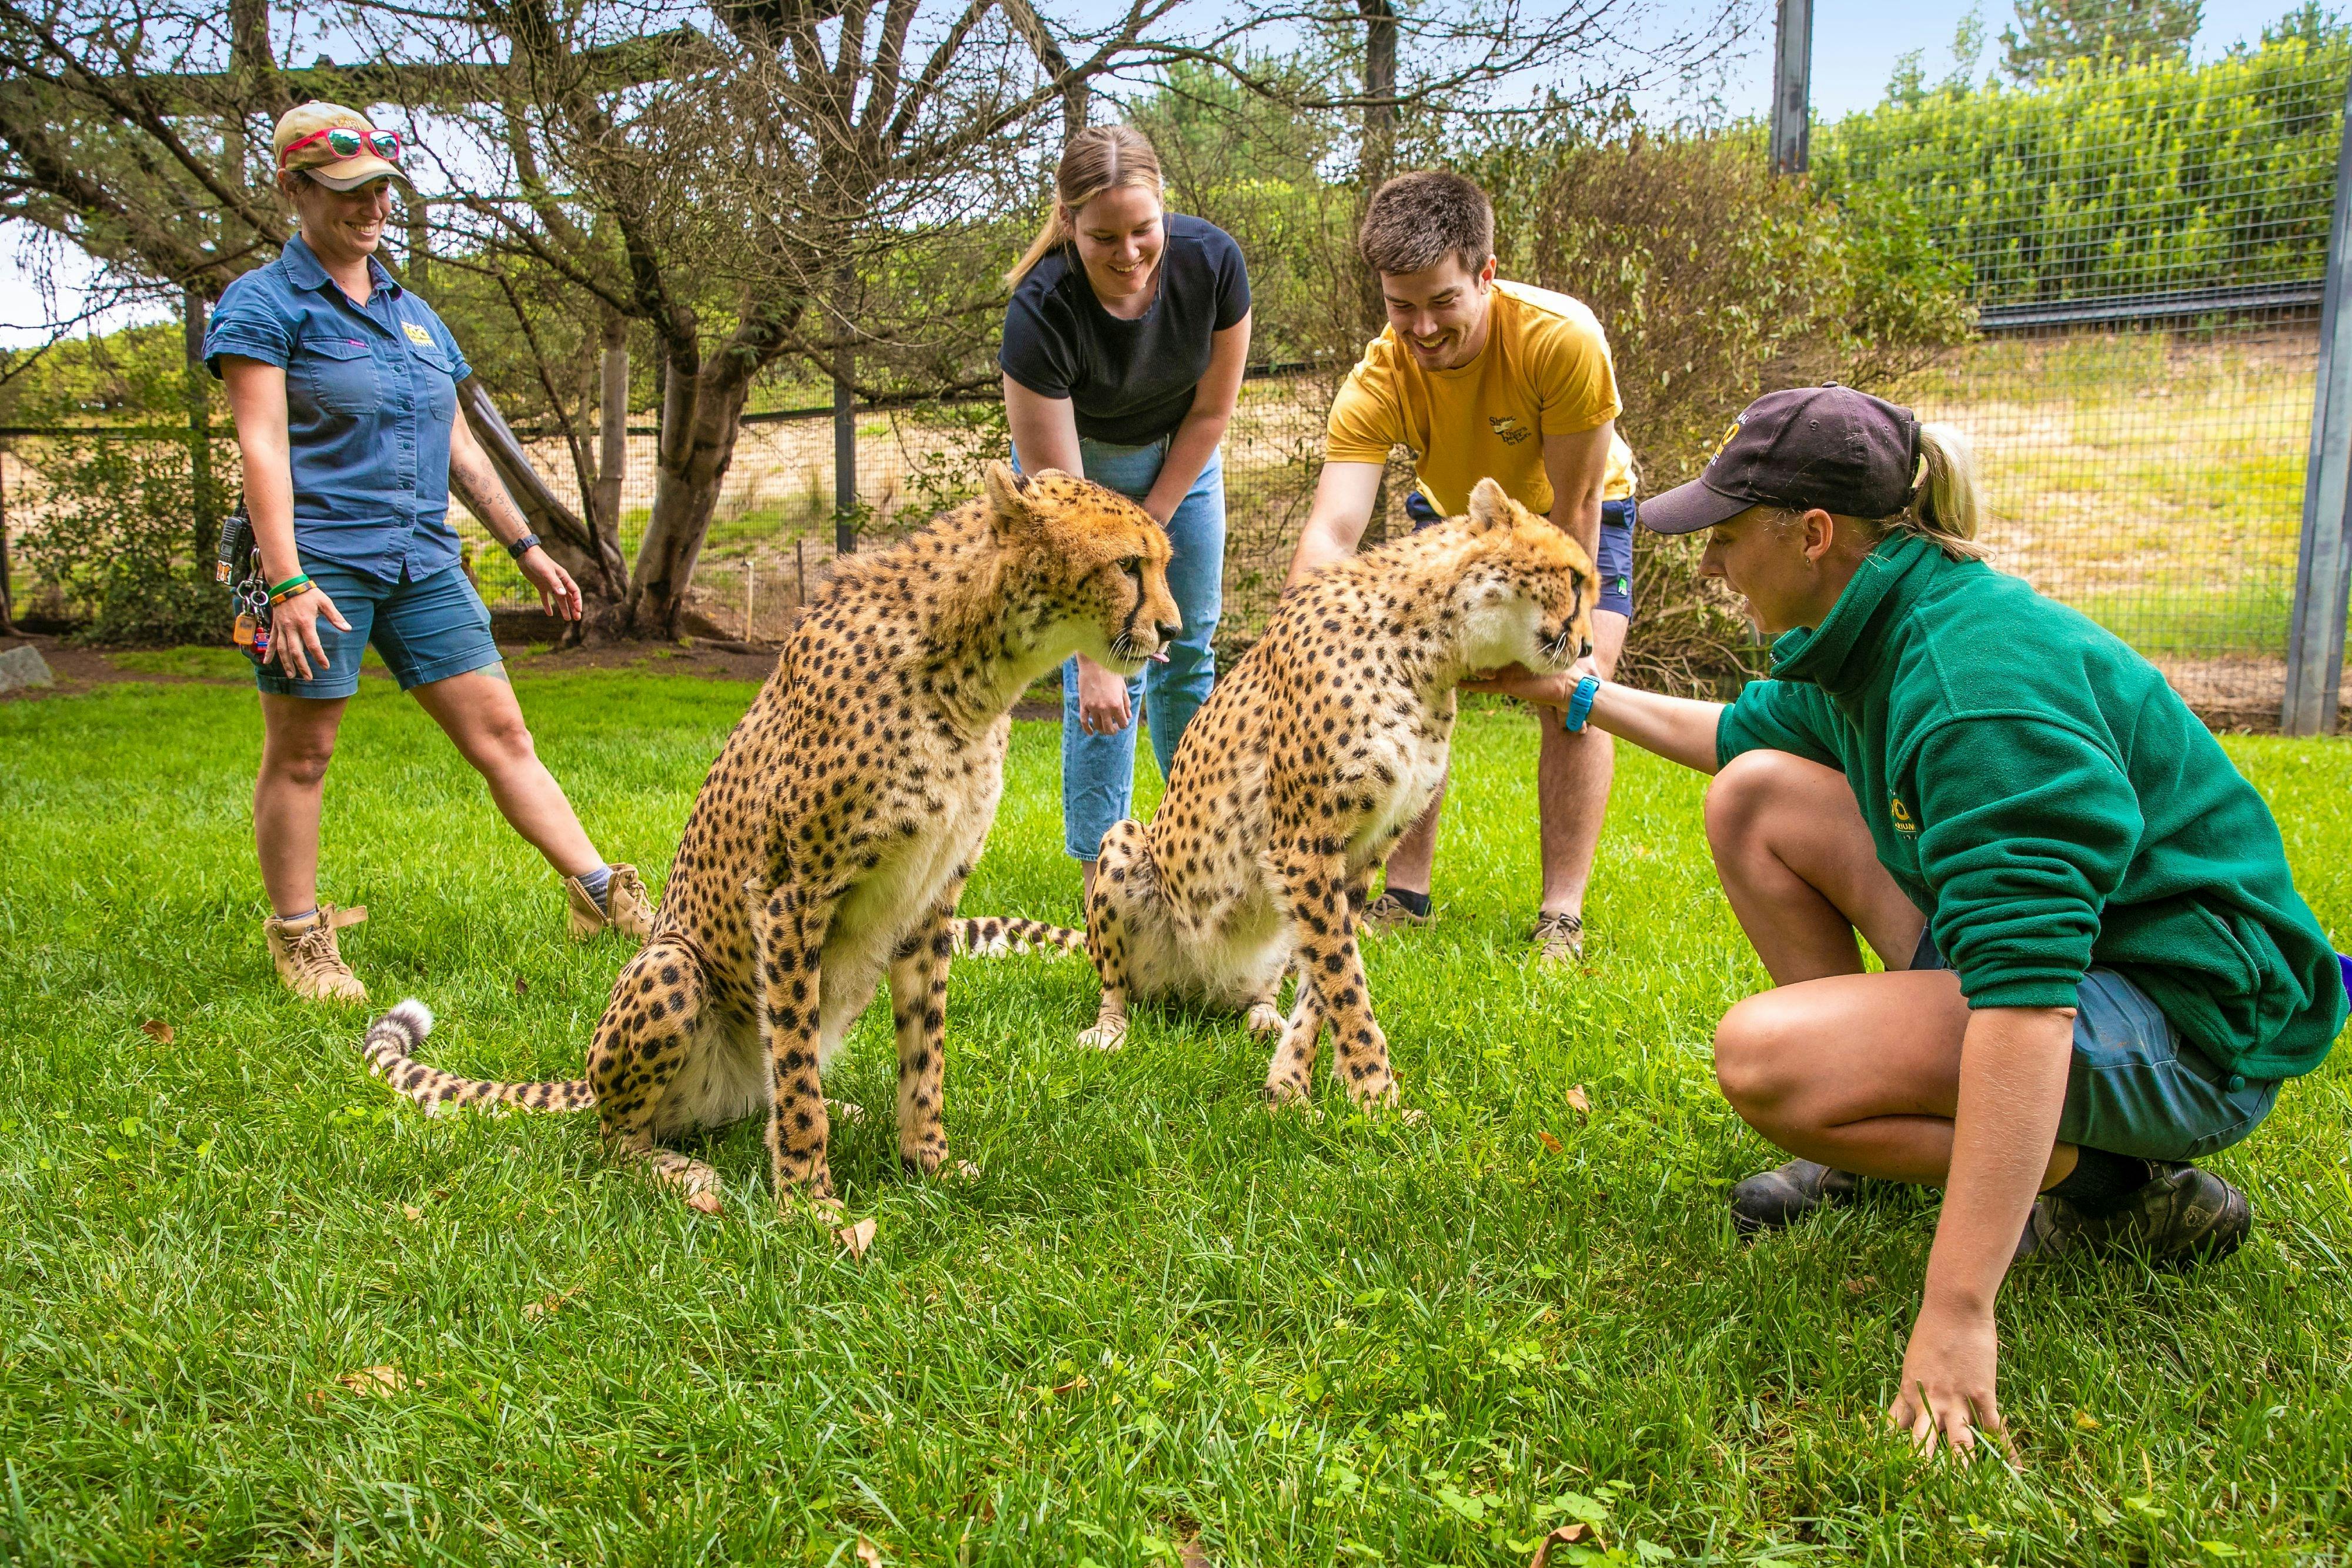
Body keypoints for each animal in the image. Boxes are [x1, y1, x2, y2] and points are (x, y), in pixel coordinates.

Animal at [355, 463, 1180, 1210]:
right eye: (1127, 564)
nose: (1173, 629)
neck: (970, 669)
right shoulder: (792, 894)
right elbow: (793, 1058)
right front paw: (810, 1205)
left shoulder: (929, 901)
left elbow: (923, 1054)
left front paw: (928, 1164)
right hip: (670, 964)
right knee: (623, 1136)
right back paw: (680, 1171)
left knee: (763, 1095)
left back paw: (834, 1113)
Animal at [955, 477, 1596, 1109]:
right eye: (1574, 578)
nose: (1589, 648)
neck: (1430, 650)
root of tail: (1196, 987)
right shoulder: (1305, 842)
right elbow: (1344, 979)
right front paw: (1376, 1095)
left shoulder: (1357, 853)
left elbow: (1325, 977)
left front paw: (1291, 1085)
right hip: (1125, 846)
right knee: (1116, 983)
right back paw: (1110, 1029)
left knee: (1265, 985)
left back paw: (1263, 1014)